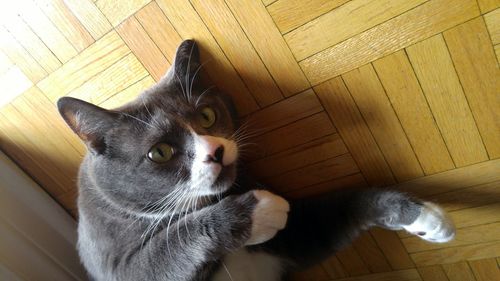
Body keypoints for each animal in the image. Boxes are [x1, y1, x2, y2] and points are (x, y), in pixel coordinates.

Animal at [56, 40, 456, 280]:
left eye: (206, 116)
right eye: (160, 152)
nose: (215, 152)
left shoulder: (292, 240)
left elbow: (347, 203)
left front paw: (424, 217)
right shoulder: (116, 266)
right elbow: (167, 246)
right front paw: (260, 210)